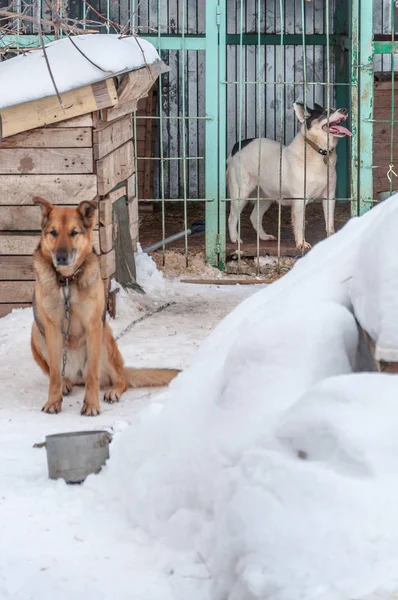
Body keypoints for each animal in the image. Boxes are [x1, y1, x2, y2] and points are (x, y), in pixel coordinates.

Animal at [30, 198, 179, 418]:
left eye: (73, 232)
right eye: (53, 233)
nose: (61, 257)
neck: (67, 281)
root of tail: (77, 375)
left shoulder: (93, 326)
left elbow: (93, 376)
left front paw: (92, 405)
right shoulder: (52, 328)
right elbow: (55, 375)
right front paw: (53, 402)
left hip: (105, 338)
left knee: (119, 379)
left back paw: (113, 392)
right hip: (37, 334)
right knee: (63, 376)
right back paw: (66, 384)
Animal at [227, 103, 352, 251]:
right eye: (325, 112)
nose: (345, 110)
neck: (318, 151)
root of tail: (238, 145)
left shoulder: (329, 196)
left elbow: (330, 222)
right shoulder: (299, 199)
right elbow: (299, 225)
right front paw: (301, 243)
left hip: (266, 195)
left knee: (254, 217)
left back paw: (264, 236)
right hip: (241, 194)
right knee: (232, 217)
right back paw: (235, 239)